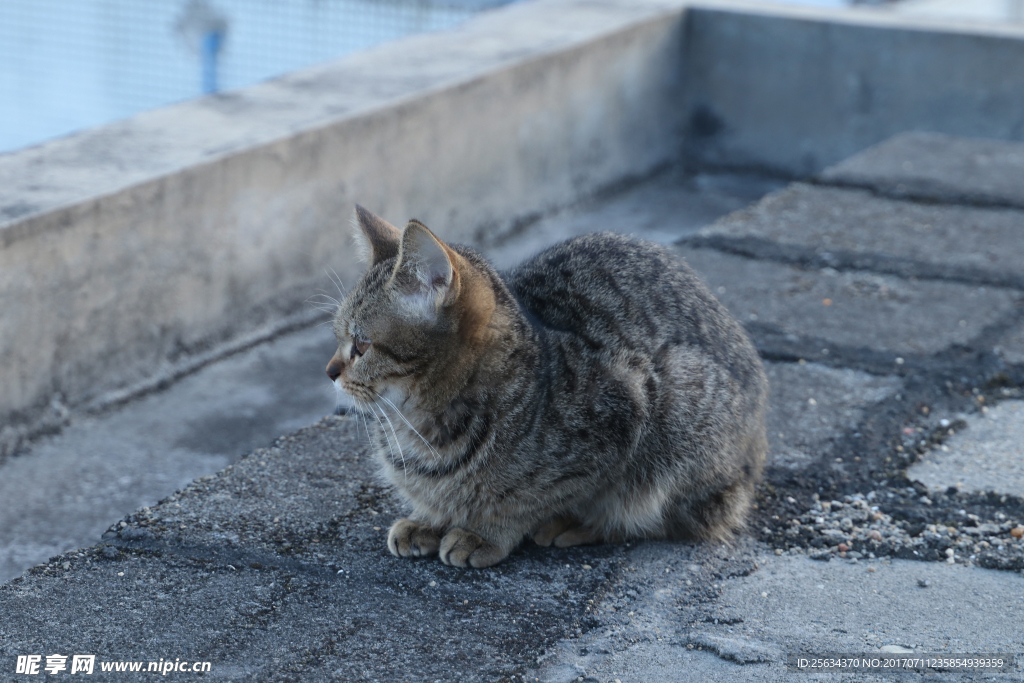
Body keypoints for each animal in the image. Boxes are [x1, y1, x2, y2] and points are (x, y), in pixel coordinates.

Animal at [327, 205, 770, 569]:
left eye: (361, 345)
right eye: (337, 337)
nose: (329, 371)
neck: (419, 428)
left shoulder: (624, 412)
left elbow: (529, 499)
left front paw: (486, 531)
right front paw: (428, 519)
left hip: (682, 410)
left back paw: (576, 525)